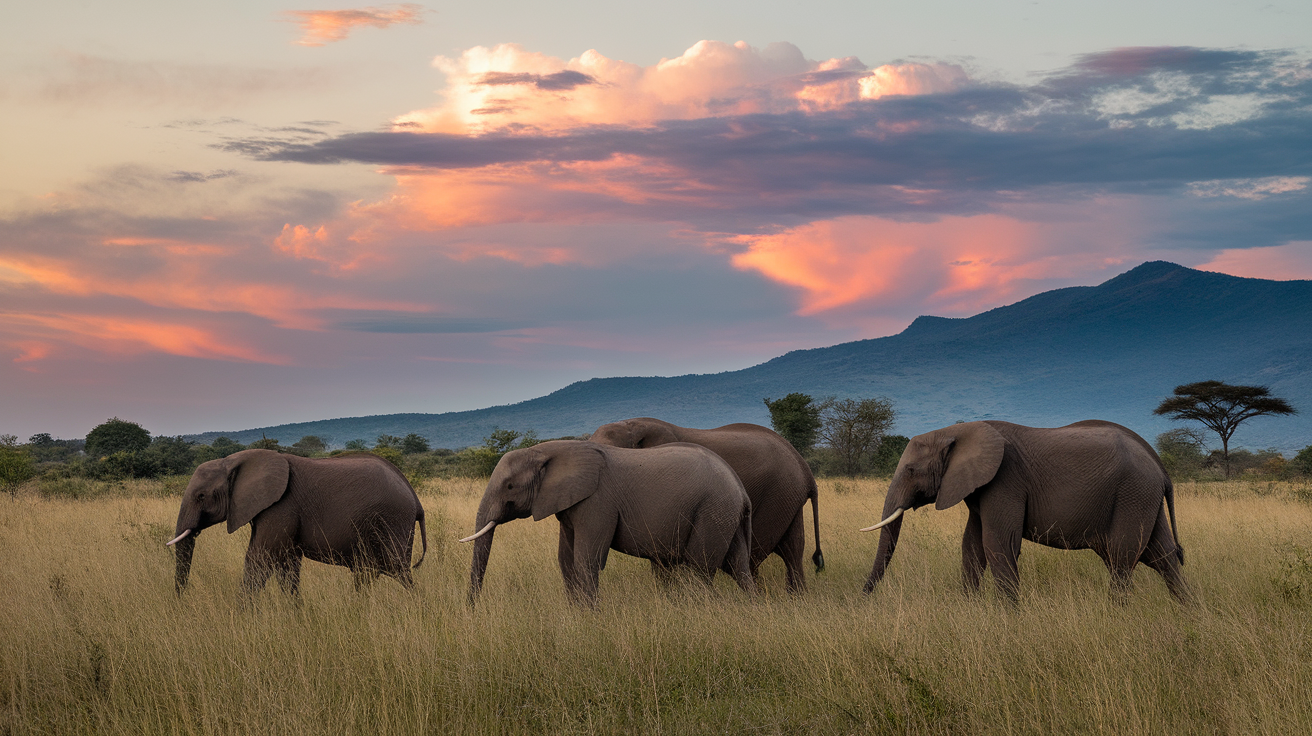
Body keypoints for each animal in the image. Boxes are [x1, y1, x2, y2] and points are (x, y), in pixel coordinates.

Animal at [166, 448, 427, 598]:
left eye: (201, 496)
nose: (181, 602)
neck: (232, 460)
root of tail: (415, 499)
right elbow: (287, 565)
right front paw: (296, 617)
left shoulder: (281, 506)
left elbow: (259, 558)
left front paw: (241, 620)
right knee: (368, 574)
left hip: (391, 521)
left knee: (398, 571)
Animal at [464, 438, 760, 606]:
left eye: (510, 486)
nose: (472, 610)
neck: (544, 451)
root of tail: (741, 490)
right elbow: (566, 559)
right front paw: (577, 615)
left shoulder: (597, 502)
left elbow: (586, 559)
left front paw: (592, 618)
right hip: (725, 515)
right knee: (738, 567)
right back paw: (752, 609)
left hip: (712, 510)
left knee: (698, 571)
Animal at [593, 417, 818, 592]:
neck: (632, 424)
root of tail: (804, 468)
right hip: (787, 498)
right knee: (793, 548)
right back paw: (795, 597)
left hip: (775, 496)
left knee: (755, 552)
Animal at [860, 419, 1191, 603]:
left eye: (911, 470)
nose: (861, 597)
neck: (956, 431)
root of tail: (1160, 467)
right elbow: (972, 547)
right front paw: (968, 610)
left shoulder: (1005, 480)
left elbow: (998, 543)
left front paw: (1008, 617)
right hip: (1143, 497)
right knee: (1161, 555)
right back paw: (1188, 612)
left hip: (1132, 493)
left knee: (1123, 556)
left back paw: (1115, 613)